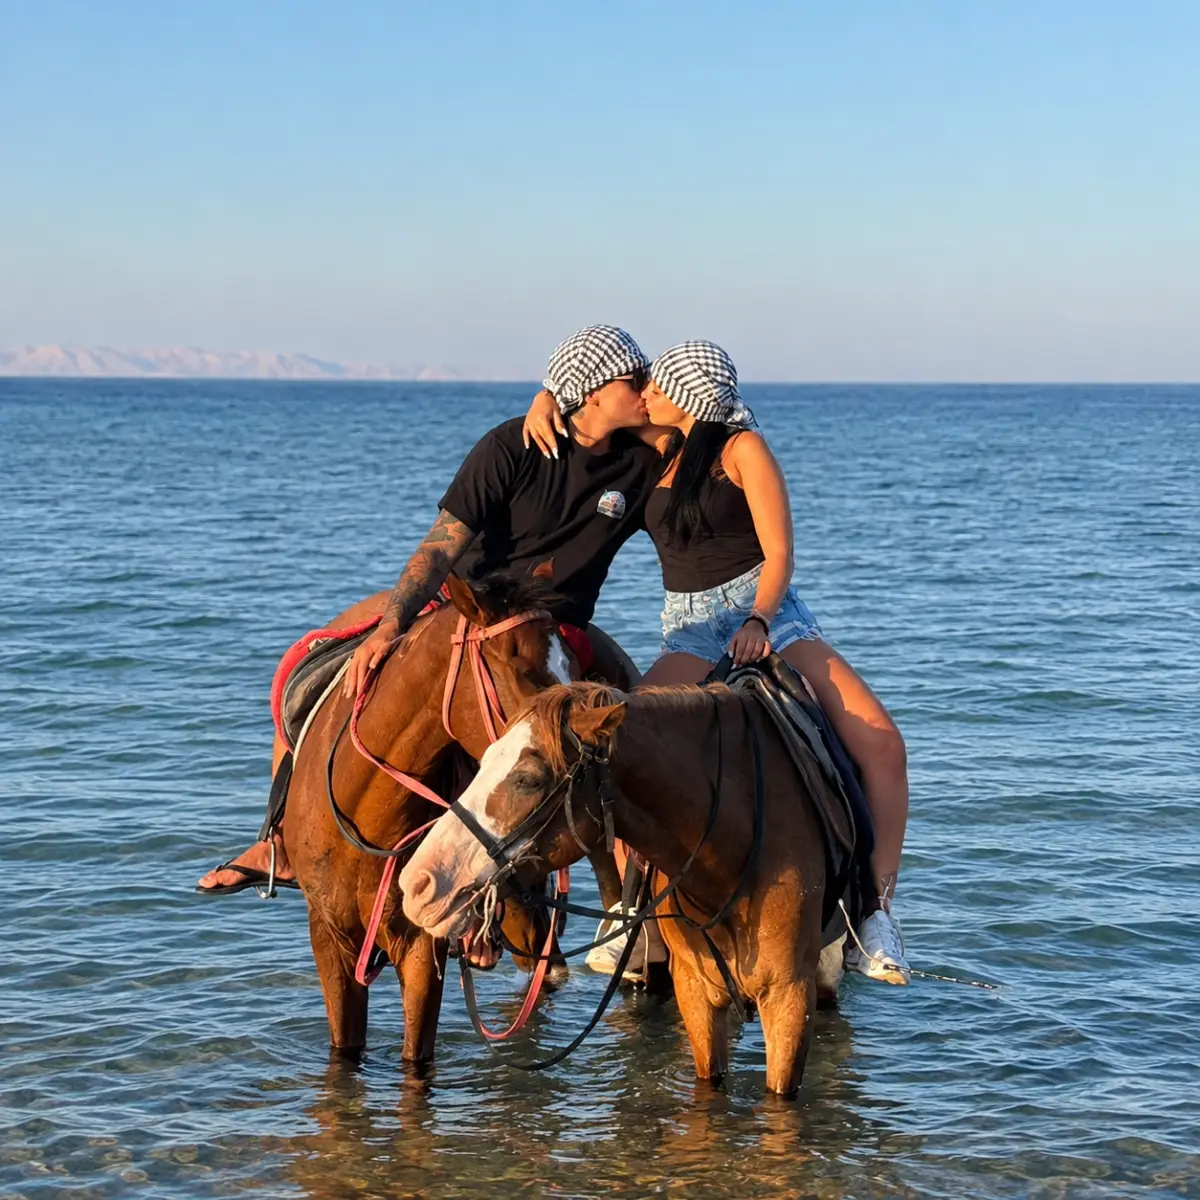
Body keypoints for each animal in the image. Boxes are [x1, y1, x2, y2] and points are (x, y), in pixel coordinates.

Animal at [281, 573, 627, 1065]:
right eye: (521, 669)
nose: (590, 750)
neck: (365, 819)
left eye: (575, 666)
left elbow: (416, 1061)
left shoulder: (423, 946)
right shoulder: (329, 939)